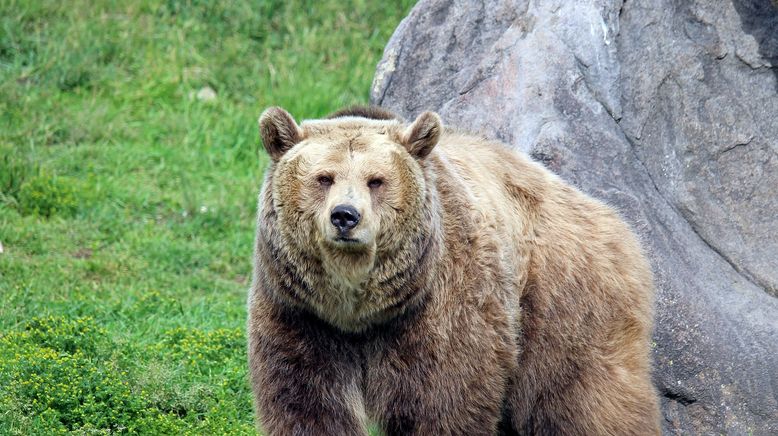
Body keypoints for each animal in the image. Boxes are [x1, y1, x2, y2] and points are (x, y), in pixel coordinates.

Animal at [246, 104, 656, 434]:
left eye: (376, 180)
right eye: (324, 177)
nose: (345, 216)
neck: (358, 312)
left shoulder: (442, 309)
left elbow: (443, 400)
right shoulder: (300, 315)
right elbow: (307, 403)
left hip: (564, 298)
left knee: (584, 397)